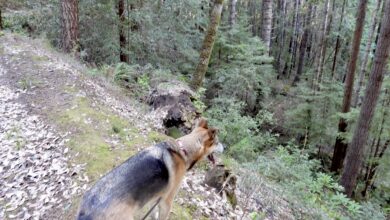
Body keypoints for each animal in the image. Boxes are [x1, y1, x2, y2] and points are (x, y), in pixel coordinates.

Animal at [77, 118, 221, 220]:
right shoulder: (166, 202)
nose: (223, 147)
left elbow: (153, 213)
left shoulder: (155, 197)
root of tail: (86, 212)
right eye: (217, 143)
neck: (183, 150)